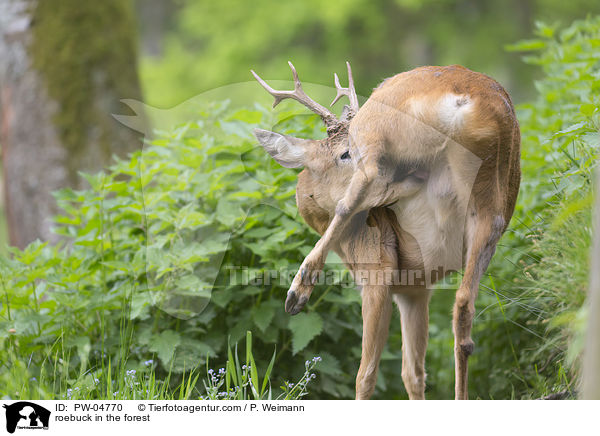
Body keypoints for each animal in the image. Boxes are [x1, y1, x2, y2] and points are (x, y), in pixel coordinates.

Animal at [250, 60, 520, 398]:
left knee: (358, 192)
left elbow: (366, 374)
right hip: (489, 203)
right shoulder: (415, 287)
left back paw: (298, 291)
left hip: (375, 129)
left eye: (346, 152)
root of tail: (463, 100)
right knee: (463, 307)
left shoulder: (377, 274)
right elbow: (413, 373)